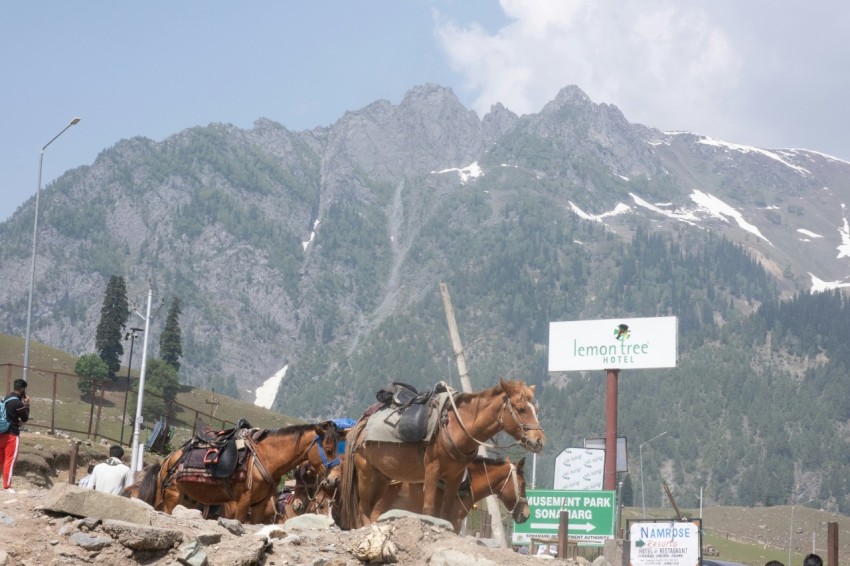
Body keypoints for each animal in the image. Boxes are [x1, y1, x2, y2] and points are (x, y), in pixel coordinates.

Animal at [138, 422, 338, 524]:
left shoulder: (258, 505)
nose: (334, 479)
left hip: (186, 501)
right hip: (172, 496)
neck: (265, 458)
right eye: (328, 450)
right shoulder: (243, 501)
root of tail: (169, 460)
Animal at [340, 380, 544, 532]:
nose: (539, 440)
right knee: (364, 510)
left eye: (536, 410)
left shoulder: (454, 480)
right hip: (365, 471)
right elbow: (429, 512)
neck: (457, 428)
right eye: (521, 409)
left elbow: (444, 515)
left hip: (382, 476)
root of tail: (362, 423)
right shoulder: (432, 471)